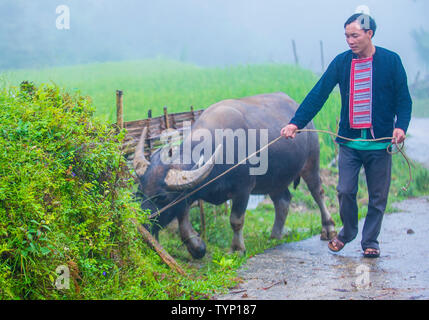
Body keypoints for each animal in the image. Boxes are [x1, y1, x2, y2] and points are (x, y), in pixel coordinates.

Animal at [132, 92, 336, 258]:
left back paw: (328, 229)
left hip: (311, 163)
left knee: (318, 192)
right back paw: (275, 235)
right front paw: (197, 247)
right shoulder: (190, 192)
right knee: (283, 201)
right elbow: (182, 219)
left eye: (162, 198)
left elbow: (236, 220)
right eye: (140, 192)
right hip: (275, 179)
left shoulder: (243, 189)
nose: (143, 224)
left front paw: (237, 249)